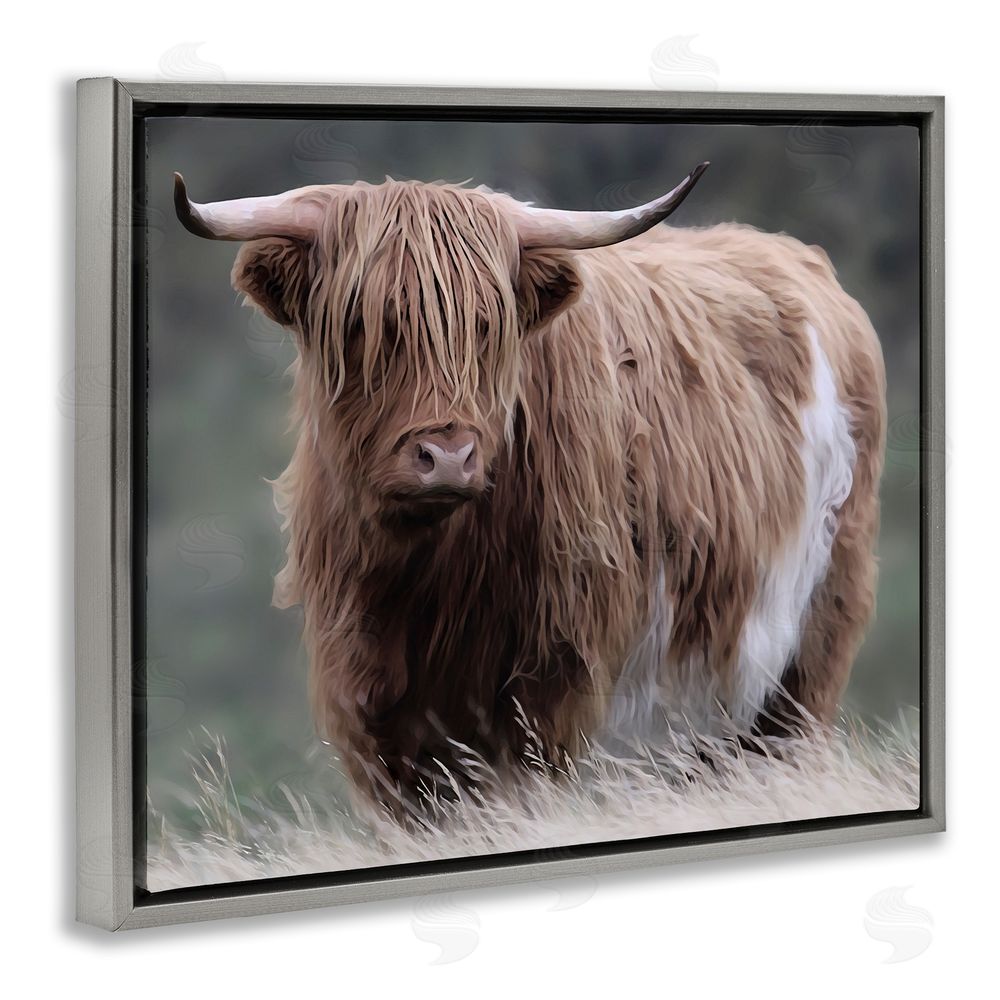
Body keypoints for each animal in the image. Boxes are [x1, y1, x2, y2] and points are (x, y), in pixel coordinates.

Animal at [174, 164, 886, 813]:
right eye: (361, 322)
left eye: (489, 325)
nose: (448, 457)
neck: (427, 583)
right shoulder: (373, 708)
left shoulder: (551, 688)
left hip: (806, 648)